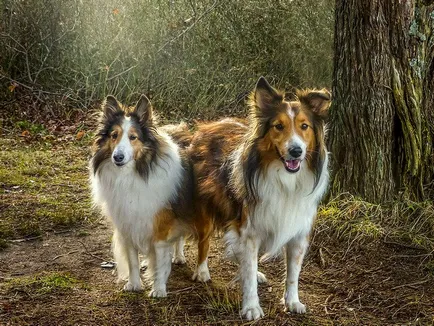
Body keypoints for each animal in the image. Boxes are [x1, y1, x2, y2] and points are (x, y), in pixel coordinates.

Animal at [90, 95, 193, 298]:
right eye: (114, 135)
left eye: (133, 137)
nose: (118, 157)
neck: (132, 175)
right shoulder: (128, 224)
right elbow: (132, 260)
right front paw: (134, 284)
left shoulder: (161, 224)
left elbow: (160, 259)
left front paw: (159, 289)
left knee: (179, 239)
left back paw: (179, 256)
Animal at [188, 77, 330, 320]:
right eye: (278, 126)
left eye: (304, 126)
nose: (296, 151)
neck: (285, 180)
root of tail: (207, 125)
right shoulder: (249, 229)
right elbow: (247, 269)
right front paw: (251, 306)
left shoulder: (298, 232)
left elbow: (293, 273)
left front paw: (292, 301)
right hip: (205, 207)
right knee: (204, 241)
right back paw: (202, 270)